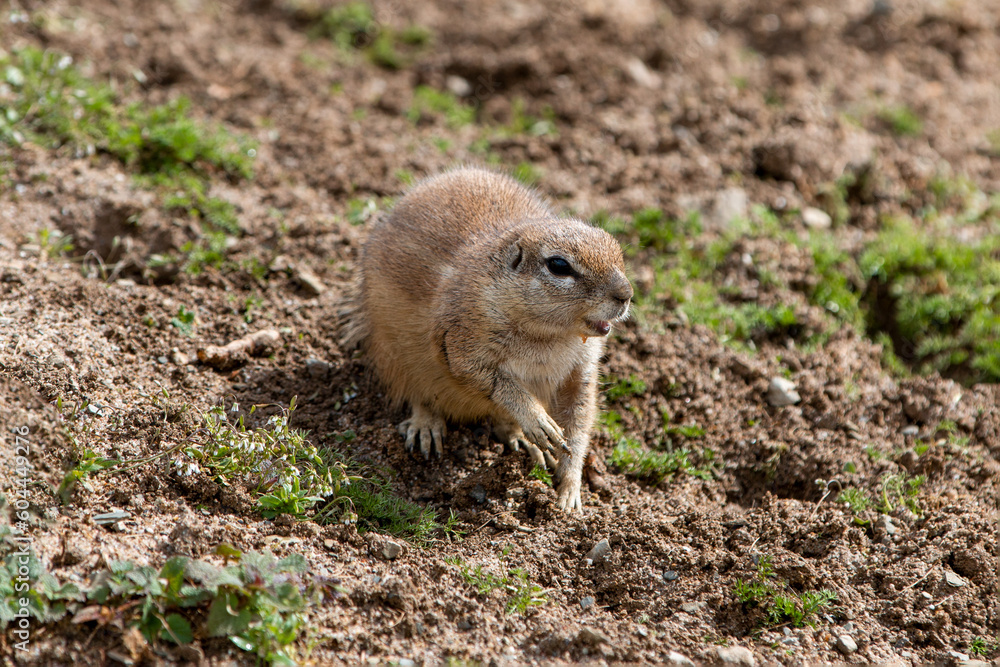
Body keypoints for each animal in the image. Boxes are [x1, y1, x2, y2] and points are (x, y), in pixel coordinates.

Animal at [342, 167, 632, 512]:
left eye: (617, 247)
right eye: (559, 265)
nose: (626, 294)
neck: (549, 336)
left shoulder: (582, 371)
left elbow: (579, 421)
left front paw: (569, 491)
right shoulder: (460, 344)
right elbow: (496, 381)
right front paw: (539, 421)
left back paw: (522, 441)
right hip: (393, 353)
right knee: (417, 394)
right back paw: (427, 427)